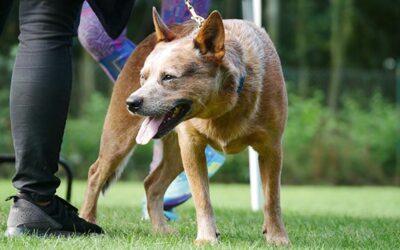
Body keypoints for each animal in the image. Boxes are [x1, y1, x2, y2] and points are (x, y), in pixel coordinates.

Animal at [79, 8, 290, 246]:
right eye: (144, 77)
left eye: (168, 77)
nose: (131, 103)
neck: (226, 108)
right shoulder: (192, 146)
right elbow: (202, 197)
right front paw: (207, 238)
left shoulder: (271, 148)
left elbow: (272, 199)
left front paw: (277, 237)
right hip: (121, 138)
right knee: (96, 173)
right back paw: (87, 220)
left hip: (175, 154)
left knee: (151, 184)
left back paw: (160, 230)